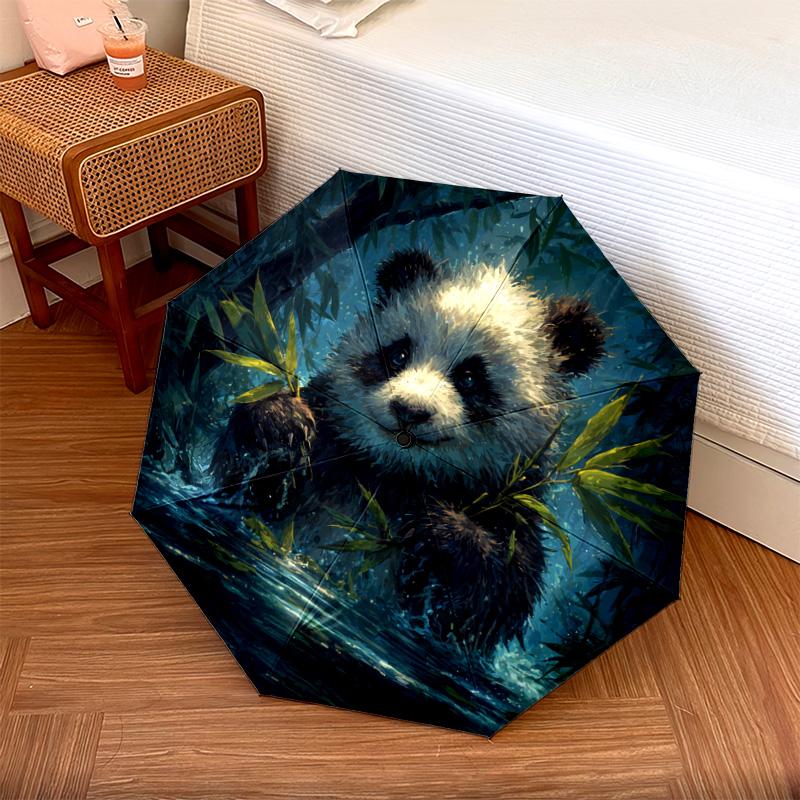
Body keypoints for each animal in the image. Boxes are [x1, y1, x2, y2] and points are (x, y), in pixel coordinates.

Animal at [212, 249, 606, 654]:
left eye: (469, 377)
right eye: (399, 354)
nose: (409, 411)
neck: (390, 472)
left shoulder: (510, 501)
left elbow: (493, 594)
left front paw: (437, 527)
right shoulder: (331, 447)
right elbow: (245, 492)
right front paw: (279, 422)